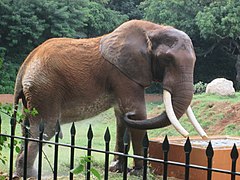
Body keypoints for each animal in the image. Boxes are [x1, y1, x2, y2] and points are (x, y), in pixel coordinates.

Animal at [12, 19, 206, 177]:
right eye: (167, 60)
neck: (153, 29)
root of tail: (24, 67)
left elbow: (122, 119)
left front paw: (117, 169)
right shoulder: (123, 74)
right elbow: (138, 116)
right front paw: (139, 172)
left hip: (34, 94)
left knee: (28, 127)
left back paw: (24, 172)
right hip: (45, 89)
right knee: (47, 128)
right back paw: (28, 174)